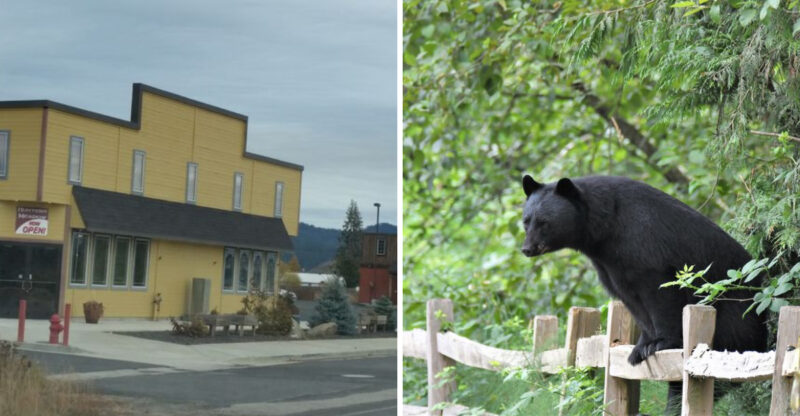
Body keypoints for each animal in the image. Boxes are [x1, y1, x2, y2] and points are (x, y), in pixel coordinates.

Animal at [520, 175, 767, 413]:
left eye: (544, 222)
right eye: (526, 222)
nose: (527, 249)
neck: (605, 229)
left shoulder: (644, 245)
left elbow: (659, 292)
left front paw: (659, 343)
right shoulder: (610, 266)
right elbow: (632, 302)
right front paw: (639, 348)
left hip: (733, 315)